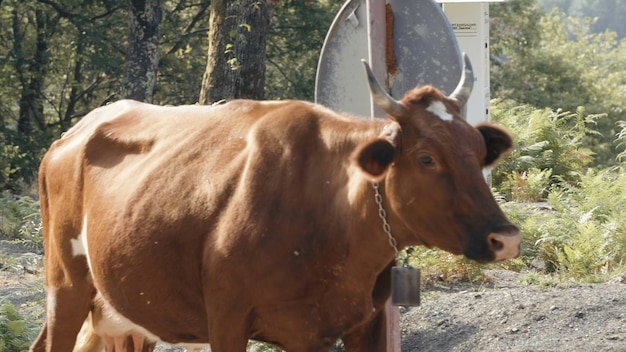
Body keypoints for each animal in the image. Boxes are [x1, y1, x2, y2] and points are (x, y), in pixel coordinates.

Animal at [30, 53, 516, 352]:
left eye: (478, 151)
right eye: (426, 157)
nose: (507, 238)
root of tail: (72, 133)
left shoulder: (354, 323)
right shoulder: (227, 317)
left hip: (127, 311)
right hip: (66, 285)